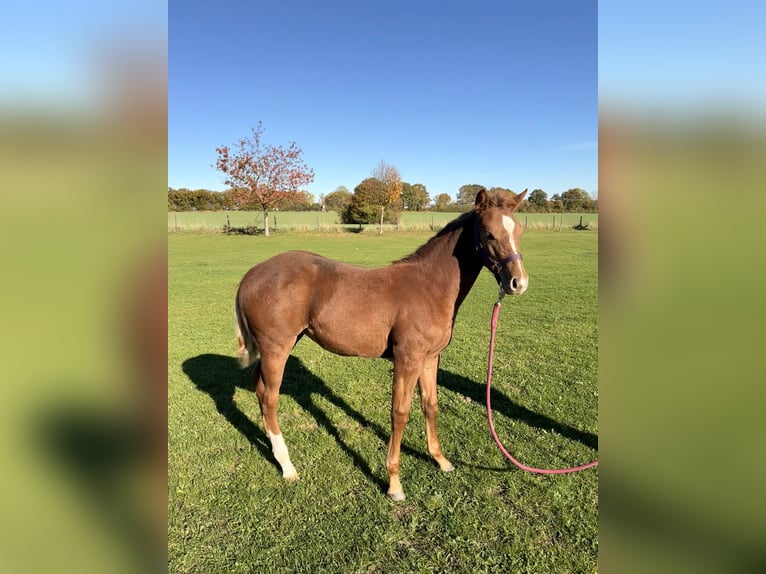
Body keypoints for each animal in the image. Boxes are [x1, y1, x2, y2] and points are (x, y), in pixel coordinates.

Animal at [234, 188, 528, 500]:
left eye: (518, 230)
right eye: (488, 234)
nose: (518, 283)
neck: (430, 287)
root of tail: (251, 275)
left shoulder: (430, 358)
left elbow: (430, 405)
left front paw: (441, 460)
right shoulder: (407, 359)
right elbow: (399, 413)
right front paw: (394, 483)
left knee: (260, 390)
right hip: (276, 349)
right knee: (270, 398)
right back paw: (287, 466)